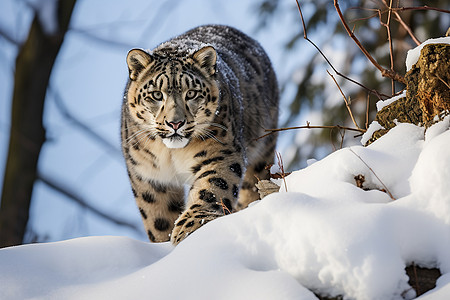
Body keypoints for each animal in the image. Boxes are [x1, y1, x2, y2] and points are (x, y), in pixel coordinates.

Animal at [122, 24, 278, 245]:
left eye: (191, 93)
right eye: (156, 94)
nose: (175, 123)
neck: (170, 154)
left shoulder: (220, 152)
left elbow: (213, 187)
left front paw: (191, 228)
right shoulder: (149, 175)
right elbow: (158, 217)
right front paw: (164, 243)